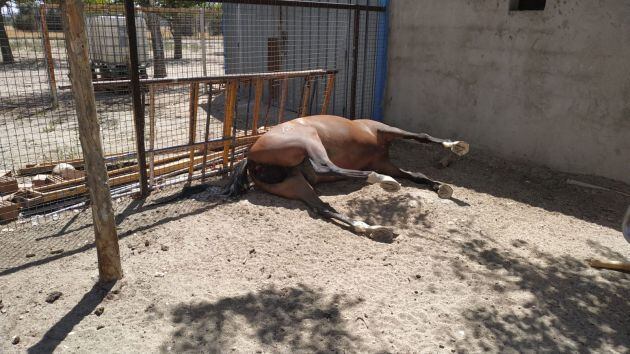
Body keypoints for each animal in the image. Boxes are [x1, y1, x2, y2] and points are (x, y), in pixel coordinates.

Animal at [217, 115, 470, 242]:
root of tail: (250, 157)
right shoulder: (386, 132)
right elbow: (421, 136)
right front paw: (457, 146)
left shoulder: (385, 162)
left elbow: (416, 175)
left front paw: (441, 187)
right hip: (309, 141)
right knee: (324, 167)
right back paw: (383, 182)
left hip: (296, 184)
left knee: (322, 208)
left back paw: (373, 228)